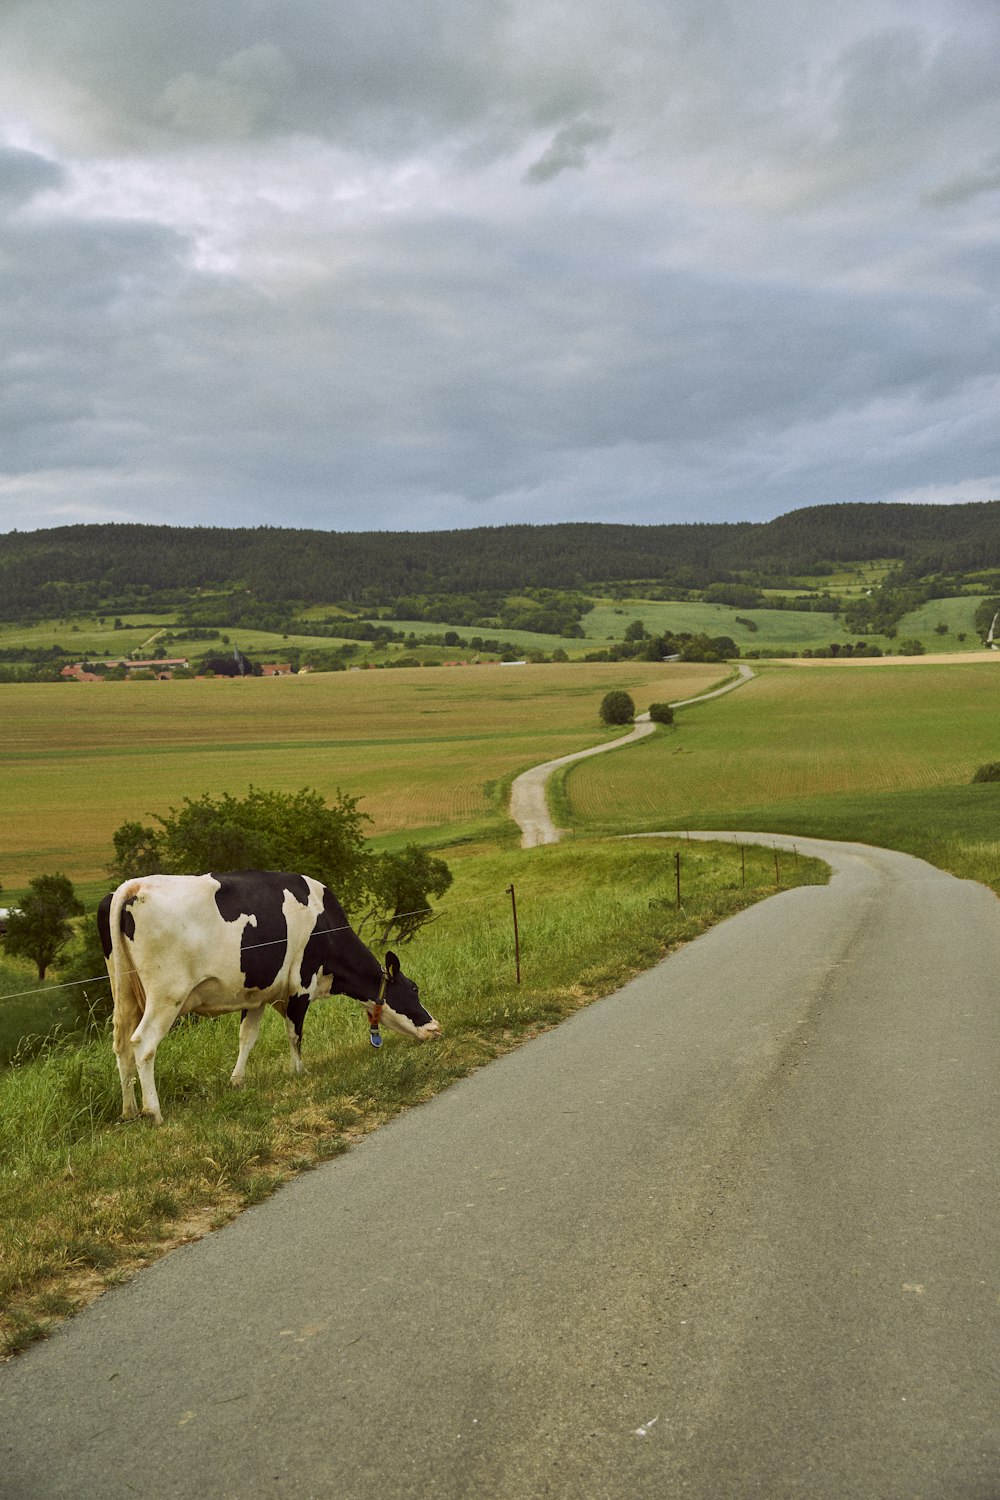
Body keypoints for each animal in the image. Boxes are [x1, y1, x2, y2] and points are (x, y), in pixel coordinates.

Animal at [99, 870, 440, 1128]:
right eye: (413, 989)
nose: (435, 1027)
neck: (324, 922)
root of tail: (132, 886)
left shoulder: (256, 996)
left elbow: (247, 1037)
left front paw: (237, 1081)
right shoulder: (301, 984)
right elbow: (295, 1032)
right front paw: (299, 1072)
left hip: (125, 995)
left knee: (121, 1045)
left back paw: (129, 1111)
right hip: (166, 995)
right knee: (142, 1043)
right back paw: (153, 1112)